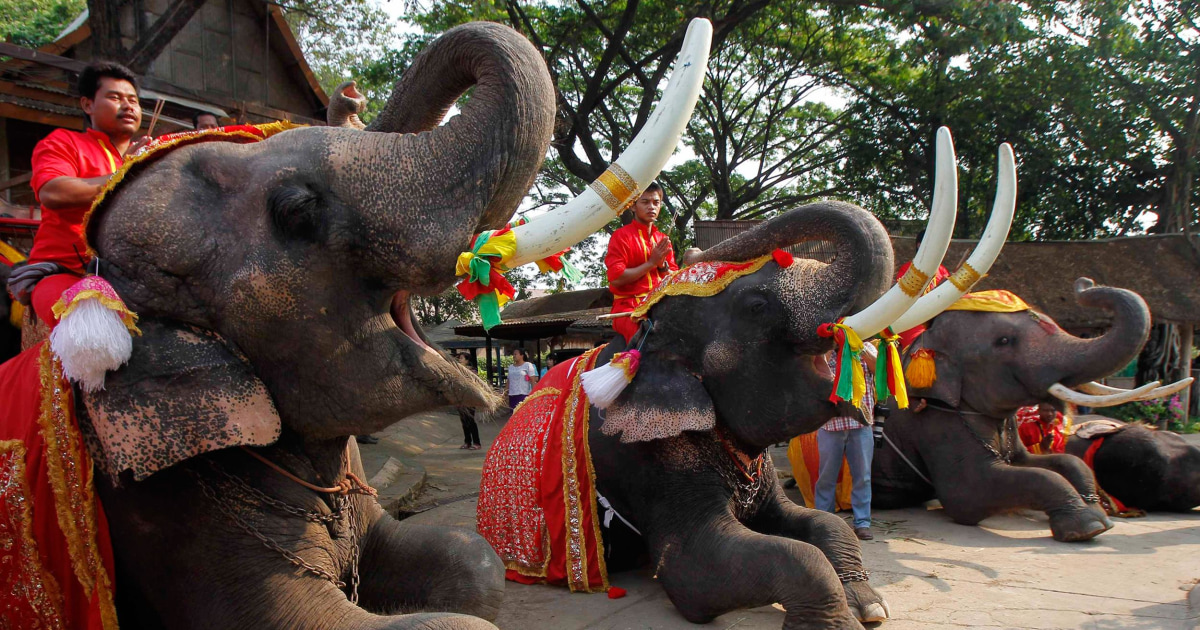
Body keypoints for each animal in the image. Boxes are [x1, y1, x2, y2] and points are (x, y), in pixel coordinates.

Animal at [871, 279, 1158, 541]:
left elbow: (1058, 461)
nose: (1085, 283)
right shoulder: (936, 425)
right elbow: (968, 494)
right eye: (1004, 340)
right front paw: (1087, 527)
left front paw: (1100, 515)